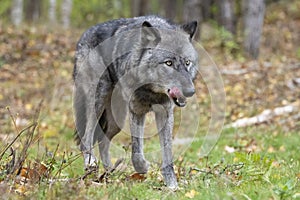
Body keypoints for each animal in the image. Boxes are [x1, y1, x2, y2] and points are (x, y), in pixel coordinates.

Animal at [72, 15, 198, 189]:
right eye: (168, 63)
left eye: (187, 62)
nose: (190, 91)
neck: (151, 90)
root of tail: (84, 36)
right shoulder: (137, 111)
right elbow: (136, 150)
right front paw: (143, 167)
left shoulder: (165, 113)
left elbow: (167, 154)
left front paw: (172, 185)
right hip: (98, 102)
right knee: (85, 139)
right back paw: (91, 164)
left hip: (116, 122)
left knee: (103, 142)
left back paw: (109, 174)